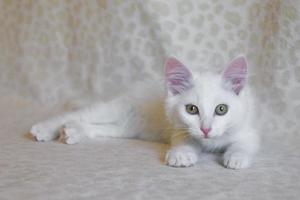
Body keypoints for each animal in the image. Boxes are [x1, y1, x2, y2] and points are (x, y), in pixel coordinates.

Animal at [31, 55, 258, 169]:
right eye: (192, 109)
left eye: (222, 109)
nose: (206, 129)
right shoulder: (179, 129)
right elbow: (185, 140)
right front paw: (181, 155)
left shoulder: (249, 131)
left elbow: (243, 145)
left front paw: (236, 158)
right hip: (113, 110)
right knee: (76, 115)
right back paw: (44, 129)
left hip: (124, 128)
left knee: (93, 127)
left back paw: (72, 132)